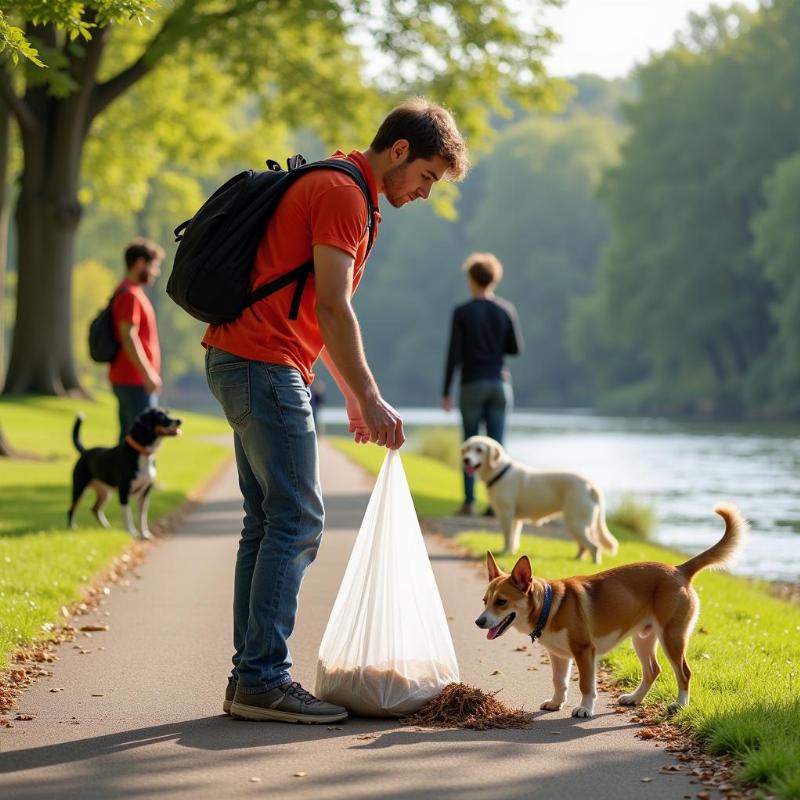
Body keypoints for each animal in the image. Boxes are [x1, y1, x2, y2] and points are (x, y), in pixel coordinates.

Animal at [67, 410, 183, 540]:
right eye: (160, 416)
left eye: (168, 413)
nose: (179, 420)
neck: (143, 454)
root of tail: (85, 451)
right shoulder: (124, 491)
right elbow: (128, 515)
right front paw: (131, 532)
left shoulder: (145, 492)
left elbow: (142, 516)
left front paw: (145, 534)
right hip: (79, 489)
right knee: (71, 510)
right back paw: (72, 528)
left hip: (105, 493)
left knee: (95, 509)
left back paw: (107, 527)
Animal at [460, 438, 616, 564]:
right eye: (467, 449)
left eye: (479, 449)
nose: (466, 459)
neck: (500, 472)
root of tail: (591, 485)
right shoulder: (516, 519)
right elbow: (514, 537)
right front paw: (512, 552)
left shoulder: (506, 514)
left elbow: (507, 537)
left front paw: (505, 552)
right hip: (576, 524)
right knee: (584, 546)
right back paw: (577, 559)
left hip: (576, 523)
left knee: (594, 547)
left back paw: (595, 564)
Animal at [476, 504, 744, 716]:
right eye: (484, 600)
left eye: (501, 601)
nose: (479, 622)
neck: (551, 606)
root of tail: (679, 569)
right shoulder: (559, 655)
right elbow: (559, 682)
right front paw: (556, 702)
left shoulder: (585, 651)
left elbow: (586, 685)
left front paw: (585, 708)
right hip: (643, 638)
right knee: (653, 670)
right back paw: (635, 698)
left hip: (672, 637)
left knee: (684, 673)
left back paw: (679, 704)